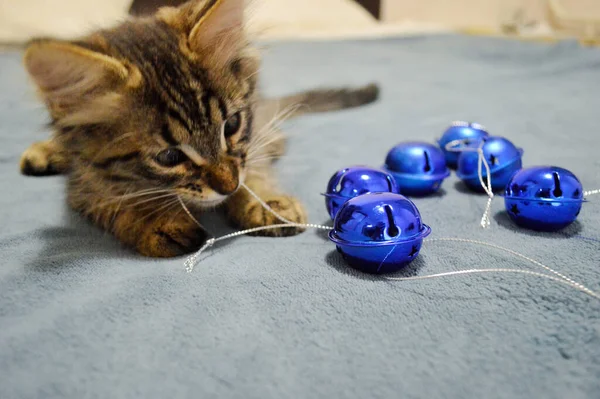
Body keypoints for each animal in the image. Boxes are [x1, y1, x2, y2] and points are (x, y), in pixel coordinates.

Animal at [19, 0, 380, 258]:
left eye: (231, 125)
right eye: (168, 157)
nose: (228, 186)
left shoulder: (250, 142)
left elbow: (254, 166)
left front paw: (265, 201)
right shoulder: (85, 182)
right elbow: (113, 198)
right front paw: (155, 221)